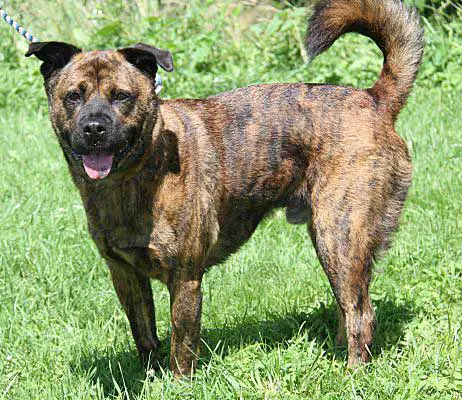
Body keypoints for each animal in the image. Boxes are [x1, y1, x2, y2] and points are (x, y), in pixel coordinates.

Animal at [24, 0, 422, 376]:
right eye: (73, 96)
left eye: (122, 96)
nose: (94, 127)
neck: (137, 174)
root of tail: (375, 100)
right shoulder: (125, 275)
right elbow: (145, 335)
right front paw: (149, 377)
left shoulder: (185, 278)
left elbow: (181, 343)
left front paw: (178, 385)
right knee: (347, 307)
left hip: (338, 237)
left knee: (360, 313)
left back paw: (352, 372)